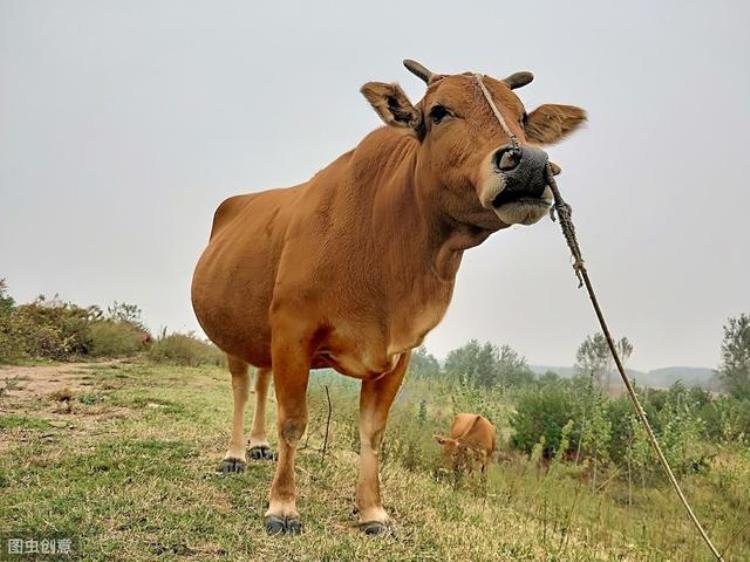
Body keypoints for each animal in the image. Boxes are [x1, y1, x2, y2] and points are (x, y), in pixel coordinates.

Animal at [189, 58, 588, 532]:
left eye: (523, 117)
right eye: (439, 112)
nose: (528, 162)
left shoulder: (399, 353)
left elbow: (373, 432)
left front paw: (372, 511)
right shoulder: (292, 331)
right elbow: (294, 422)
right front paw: (283, 506)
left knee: (261, 380)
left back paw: (258, 445)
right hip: (234, 331)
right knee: (240, 384)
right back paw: (235, 453)